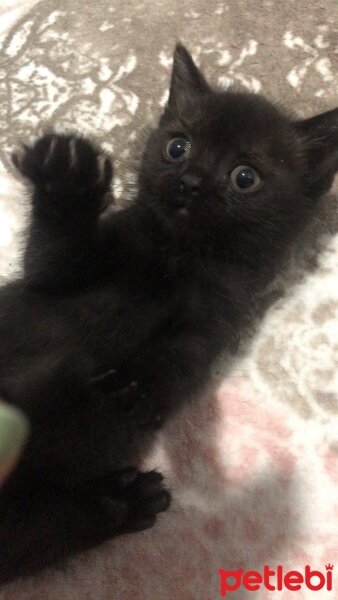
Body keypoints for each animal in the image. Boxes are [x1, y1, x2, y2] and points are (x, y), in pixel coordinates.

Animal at [0, 44, 336, 584]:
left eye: (245, 177)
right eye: (178, 147)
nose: (190, 182)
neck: (175, 256)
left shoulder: (217, 320)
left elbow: (179, 360)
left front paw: (138, 384)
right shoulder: (58, 275)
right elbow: (52, 259)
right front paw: (66, 180)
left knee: (37, 532)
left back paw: (124, 499)